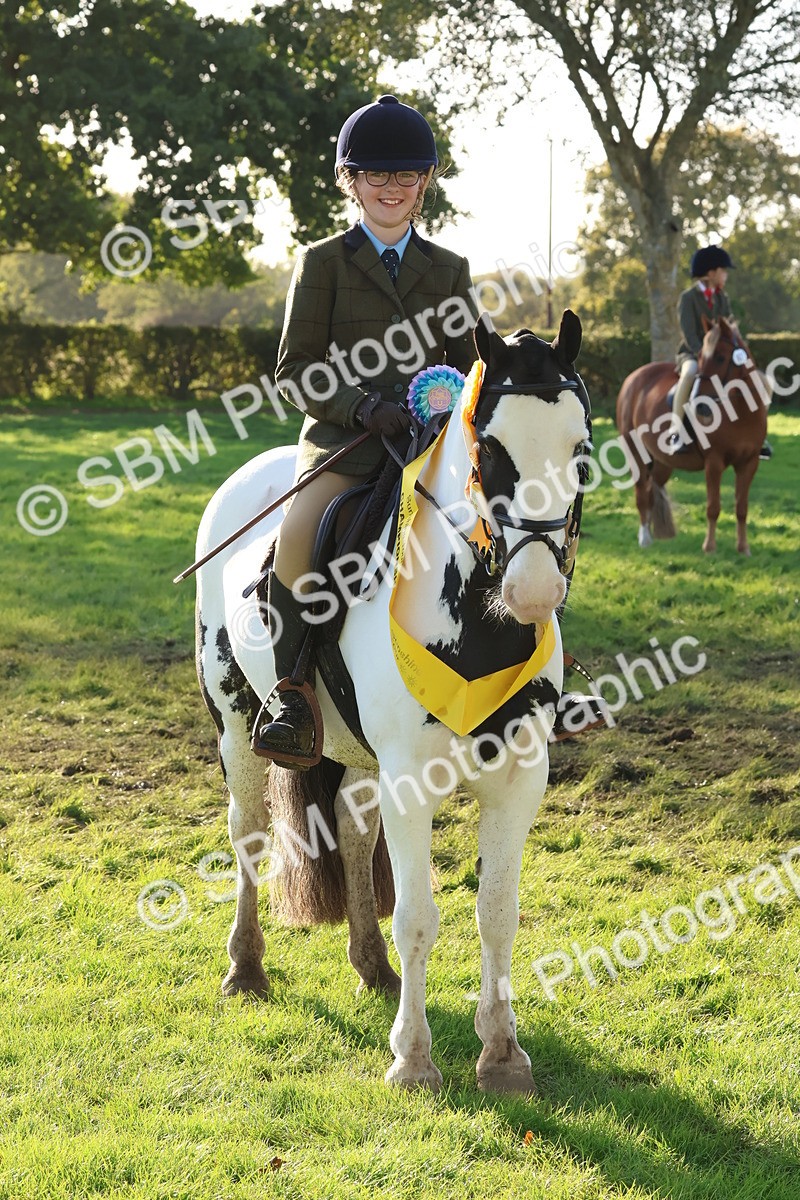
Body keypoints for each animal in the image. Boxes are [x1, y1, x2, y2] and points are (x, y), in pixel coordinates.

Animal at [194, 311, 593, 1093]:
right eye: (489, 448)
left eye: (582, 450)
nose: (534, 591)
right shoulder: (412, 779)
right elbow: (418, 915)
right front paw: (413, 1058)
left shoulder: (518, 780)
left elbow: (497, 913)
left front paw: (503, 1054)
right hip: (235, 722)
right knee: (248, 833)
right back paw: (246, 968)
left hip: (356, 751)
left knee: (352, 835)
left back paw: (371, 966)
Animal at [615, 317, 769, 555]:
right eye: (700, 357)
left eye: (720, 357)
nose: (699, 405)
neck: (742, 412)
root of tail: (633, 377)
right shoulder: (714, 462)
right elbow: (713, 507)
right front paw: (709, 547)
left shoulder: (749, 462)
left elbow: (742, 507)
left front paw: (743, 548)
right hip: (635, 452)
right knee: (641, 493)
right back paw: (645, 538)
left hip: (662, 462)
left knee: (652, 491)